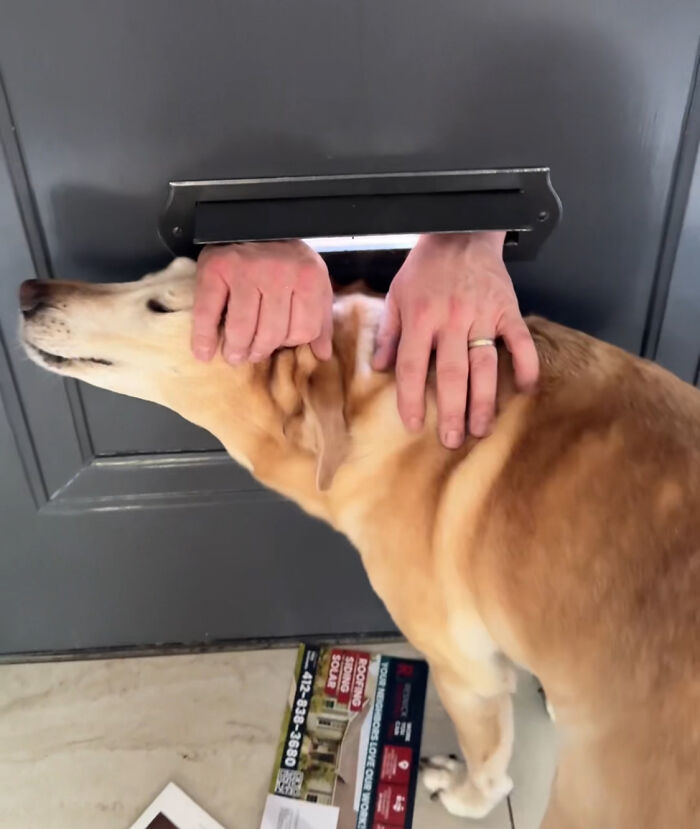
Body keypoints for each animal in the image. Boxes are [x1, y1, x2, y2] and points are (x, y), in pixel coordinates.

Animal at [17, 258, 700, 820]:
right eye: (155, 273)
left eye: (163, 307)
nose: (26, 292)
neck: (368, 396)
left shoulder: (465, 671)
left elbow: (489, 758)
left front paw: (468, 794)